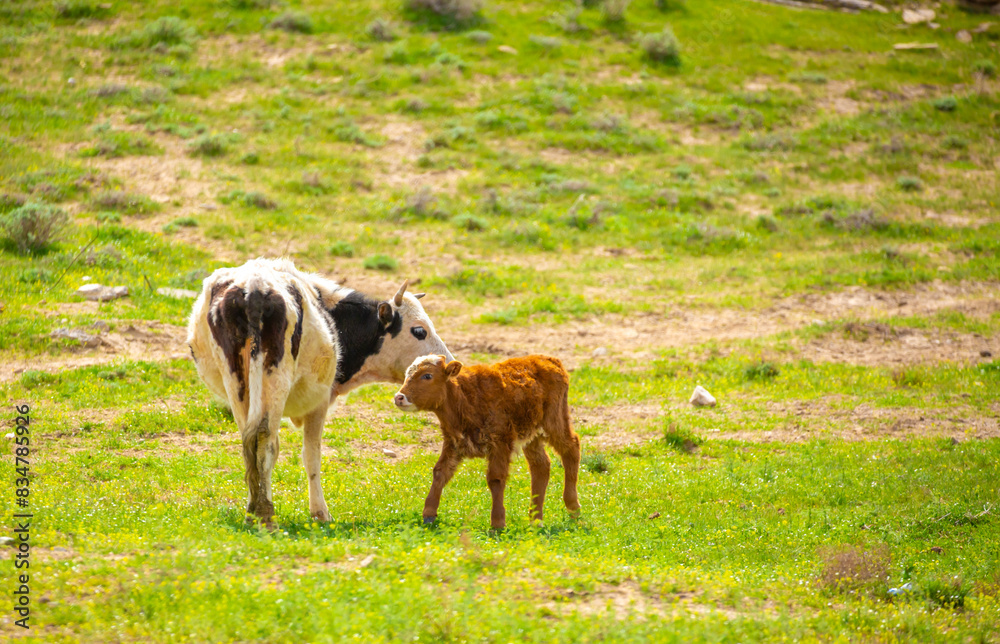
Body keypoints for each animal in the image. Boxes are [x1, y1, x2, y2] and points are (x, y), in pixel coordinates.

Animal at [187, 257, 453, 526]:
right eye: (419, 331)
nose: (447, 364)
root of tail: (253, 287)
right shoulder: (320, 402)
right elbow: (311, 455)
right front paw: (320, 513)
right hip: (273, 378)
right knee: (264, 438)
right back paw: (265, 515)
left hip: (237, 381)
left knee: (250, 442)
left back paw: (253, 514)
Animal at [393, 355, 581, 530]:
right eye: (407, 374)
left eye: (427, 375)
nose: (399, 397)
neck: (465, 397)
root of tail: (549, 359)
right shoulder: (453, 443)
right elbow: (440, 472)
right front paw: (429, 514)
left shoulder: (500, 443)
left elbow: (495, 479)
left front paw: (497, 523)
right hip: (531, 436)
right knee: (540, 466)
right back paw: (536, 519)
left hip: (554, 421)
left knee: (571, 448)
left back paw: (573, 508)